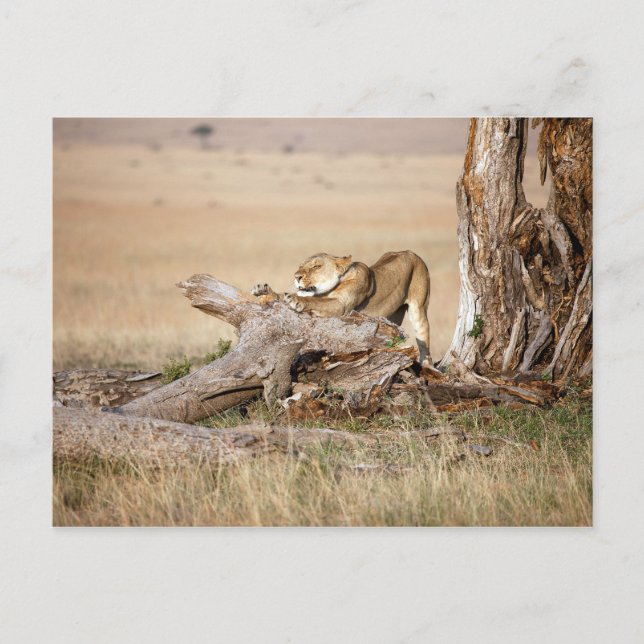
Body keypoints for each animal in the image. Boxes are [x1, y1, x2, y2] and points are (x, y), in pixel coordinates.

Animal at [251, 250, 433, 366]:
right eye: (300, 266)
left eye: (316, 266)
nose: (296, 277)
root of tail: (410, 252)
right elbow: (281, 295)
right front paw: (264, 291)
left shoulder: (341, 306)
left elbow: (313, 302)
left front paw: (295, 300)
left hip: (419, 310)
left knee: (424, 344)